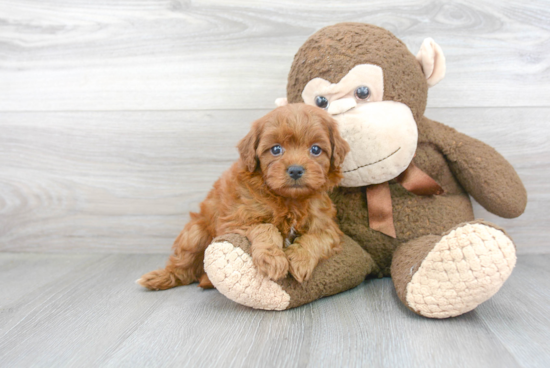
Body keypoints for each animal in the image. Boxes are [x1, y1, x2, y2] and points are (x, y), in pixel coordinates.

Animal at [137, 102, 350, 288]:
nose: (296, 170)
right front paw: (272, 259)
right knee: (182, 266)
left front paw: (300, 260)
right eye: (276, 149)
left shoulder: (328, 226)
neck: (289, 200)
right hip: (195, 235)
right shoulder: (237, 220)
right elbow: (266, 227)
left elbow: (316, 238)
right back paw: (160, 277)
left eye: (315, 149)